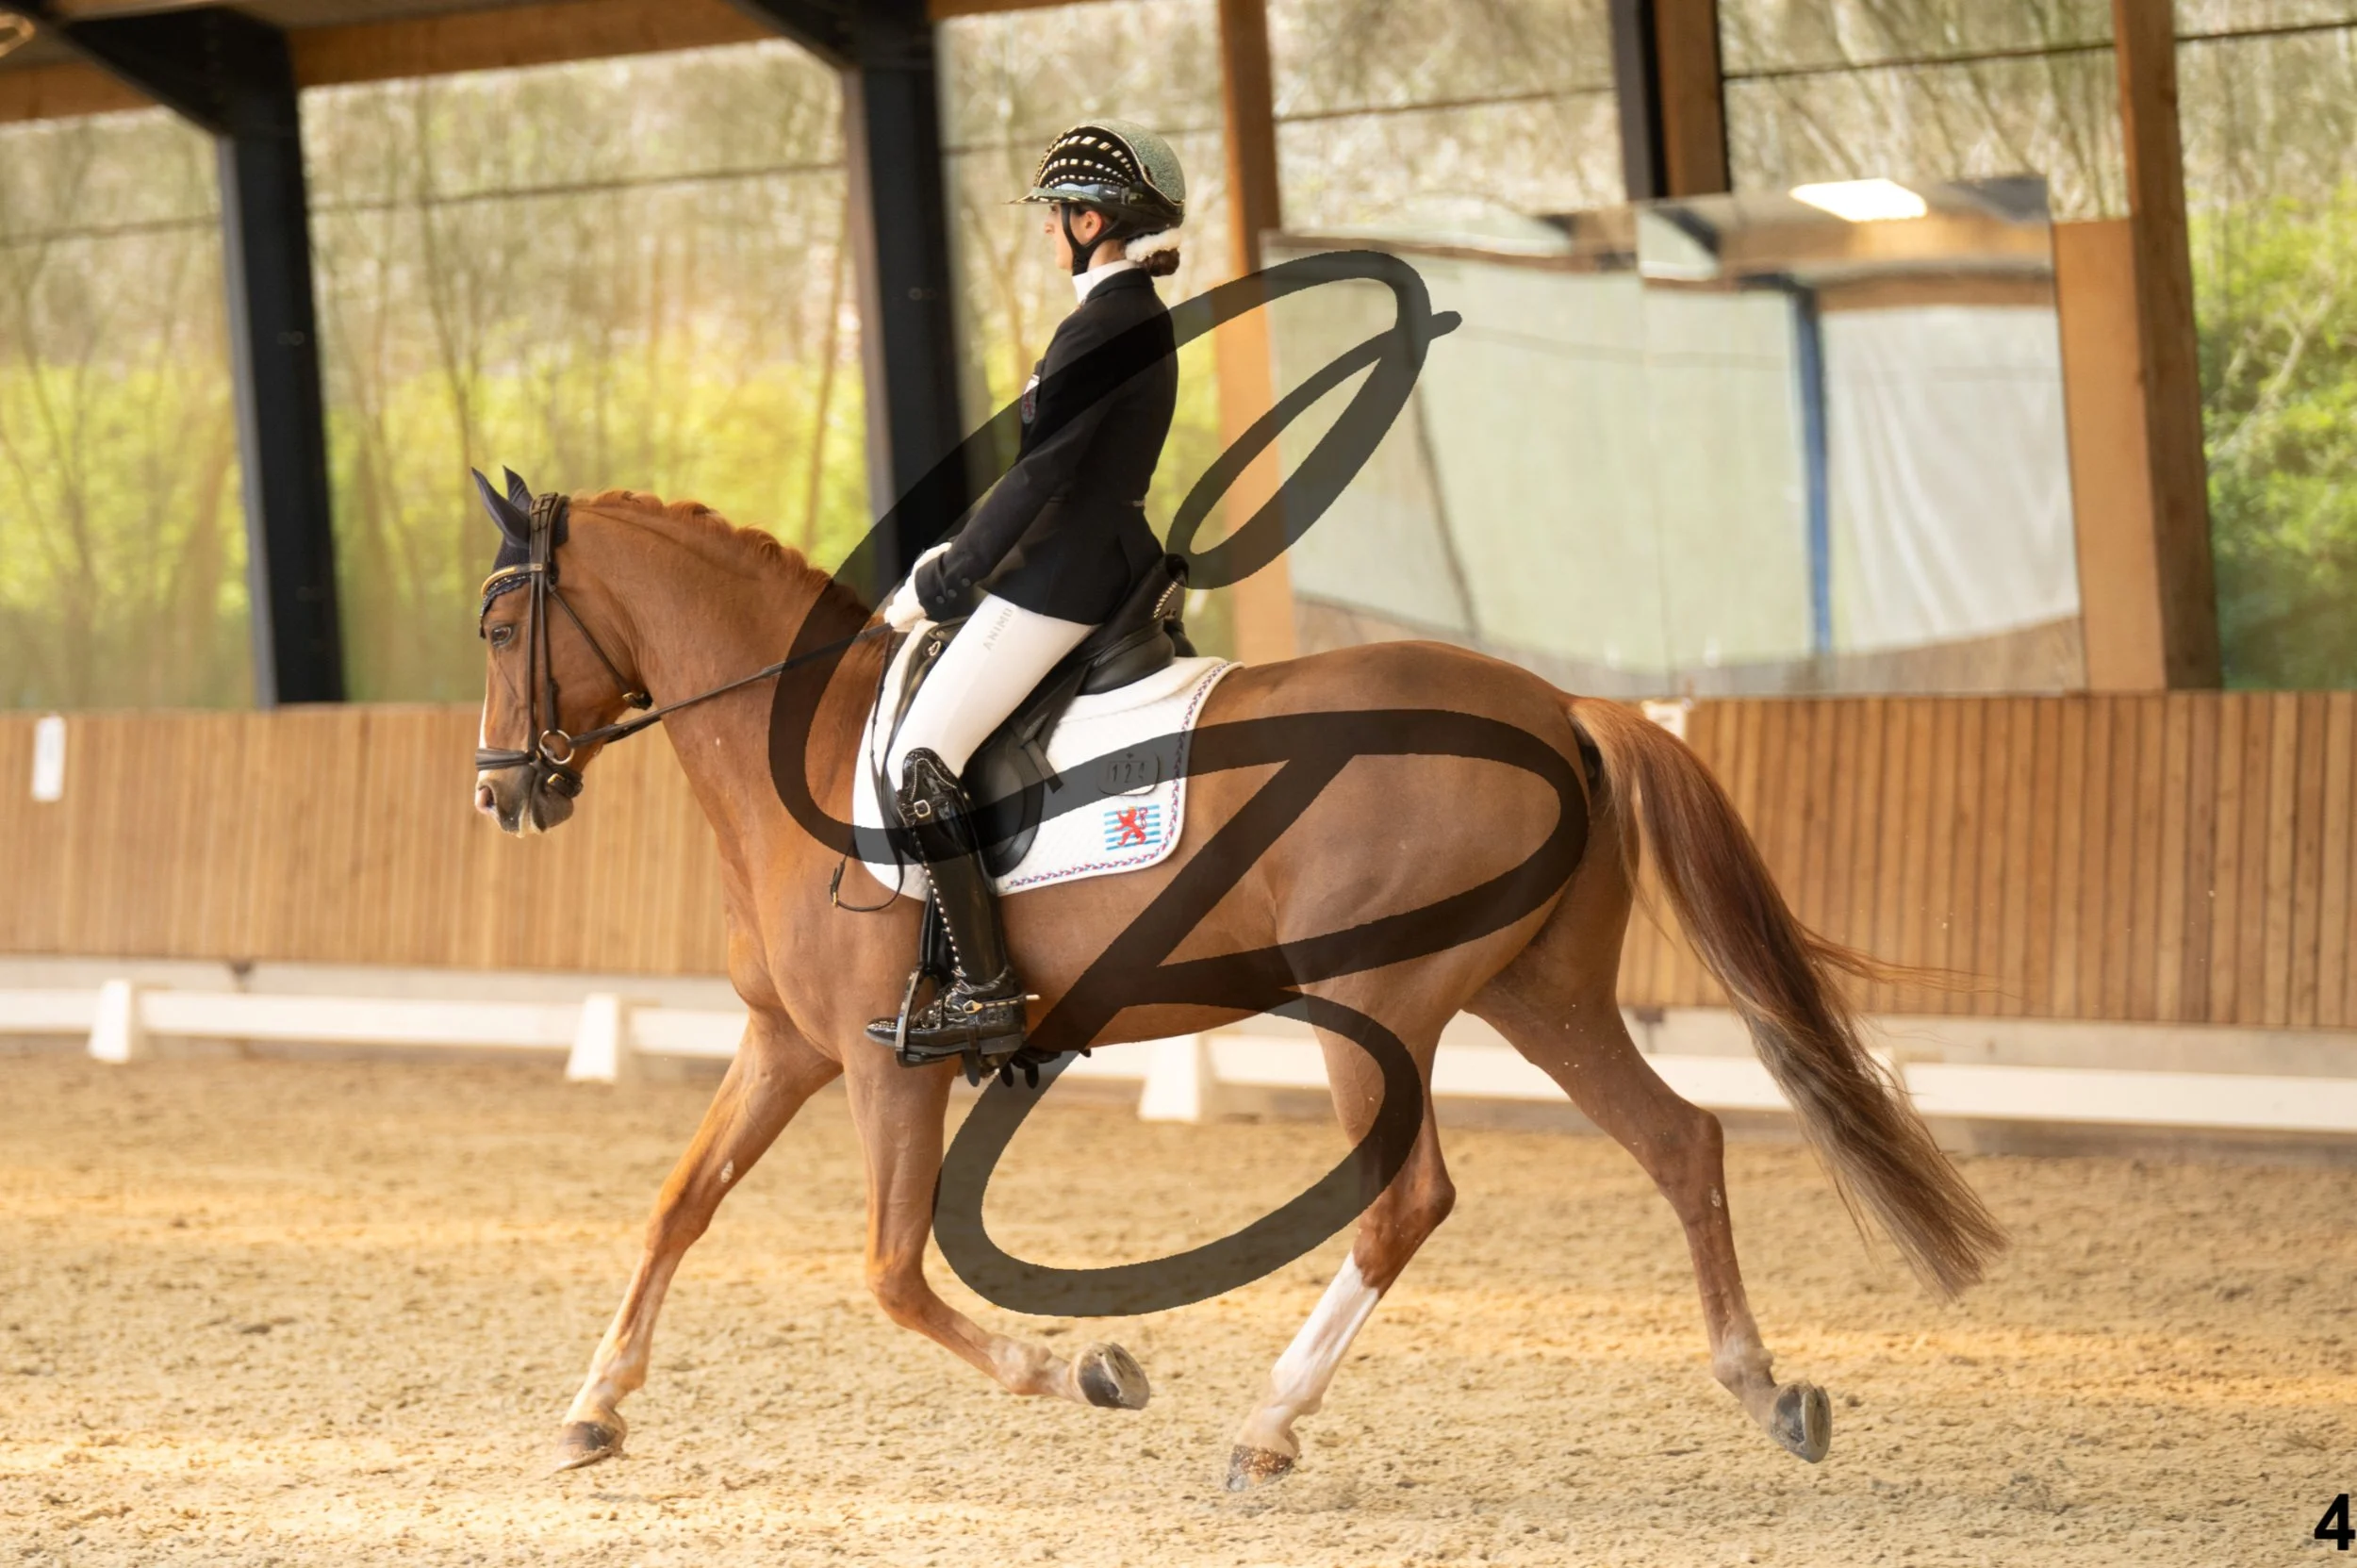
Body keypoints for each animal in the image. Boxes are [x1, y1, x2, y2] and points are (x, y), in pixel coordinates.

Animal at [471, 487, 2005, 1488]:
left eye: (497, 630)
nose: (501, 793)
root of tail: (1558, 707)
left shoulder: (878, 1059)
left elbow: (893, 1270)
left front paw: (1084, 1370)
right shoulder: (782, 1045)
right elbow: (678, 1205)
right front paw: (592, 1407)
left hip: (1378, 1004)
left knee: (1409, 1197)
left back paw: (1266, 1423)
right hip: (1541, 993)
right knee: (1680, 1140)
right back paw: (1764, 1390)